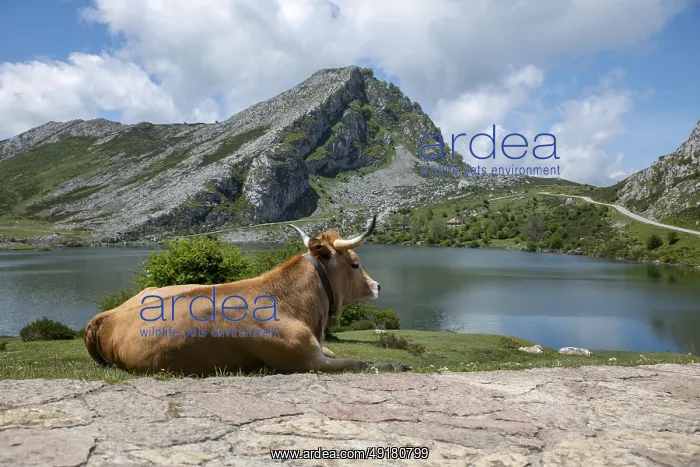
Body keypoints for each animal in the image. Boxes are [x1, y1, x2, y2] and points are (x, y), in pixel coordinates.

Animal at [83, 215, 410, 376]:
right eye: (355, 263)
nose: (377, 286)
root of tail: (104, 316)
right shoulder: (303, 361)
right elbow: (358, 363)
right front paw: (396, 365)